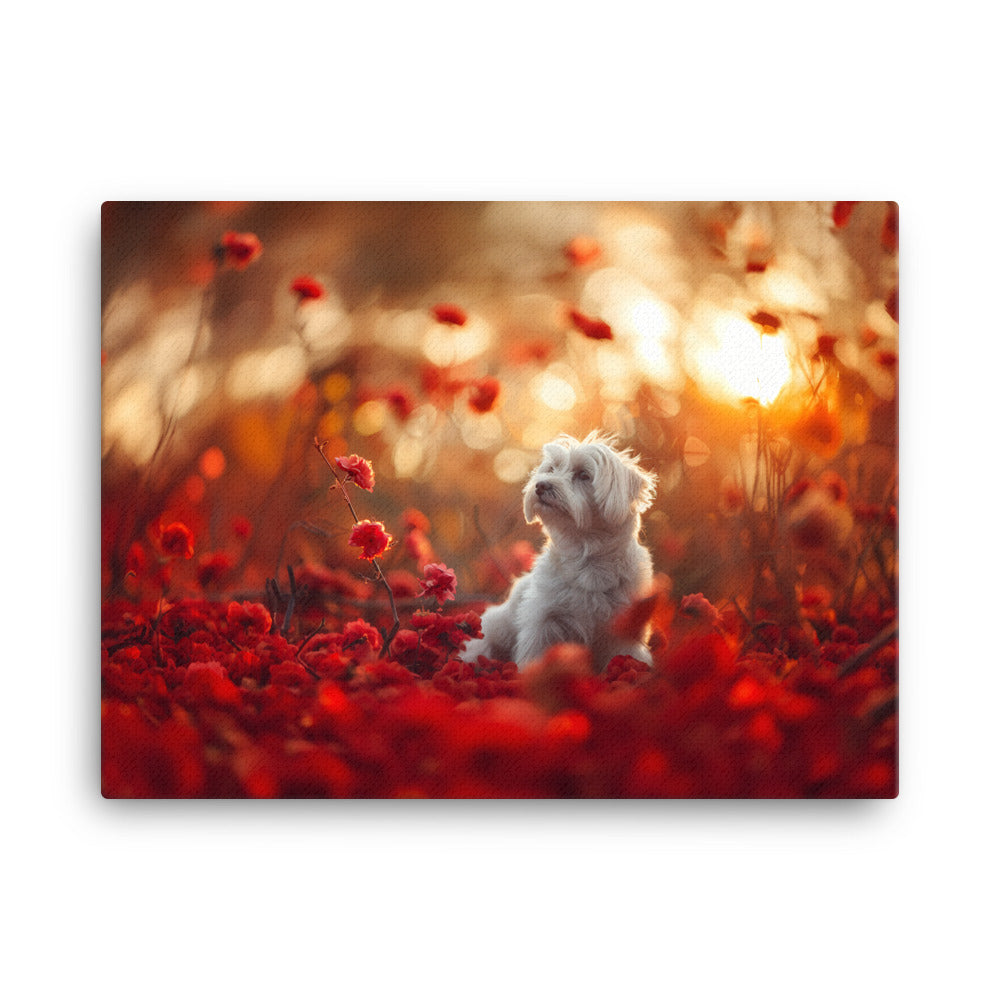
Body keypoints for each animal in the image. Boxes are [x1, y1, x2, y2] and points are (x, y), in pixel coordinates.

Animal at [460, 432, 656, 672]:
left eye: (584, 475)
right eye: (551, 469)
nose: (541, 485)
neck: (585, 556)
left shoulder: (624, 631)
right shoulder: (544, 621)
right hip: (498, 628)